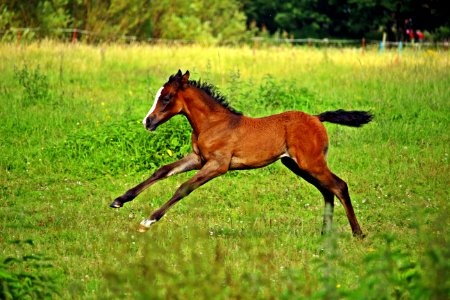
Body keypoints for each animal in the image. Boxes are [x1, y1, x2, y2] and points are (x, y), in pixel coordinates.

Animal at [110, 70, 372, 237]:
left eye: (166, 97)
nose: (148, 122)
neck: (213, 123)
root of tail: (317, 118)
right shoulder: (198, 159)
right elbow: (162, 171)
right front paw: (119, 201)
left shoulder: (218, 165)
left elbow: (183, 188)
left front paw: (147, 221)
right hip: (297, 165)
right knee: (327, 191)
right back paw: (324, 233)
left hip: (311, 163)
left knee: (339, 186)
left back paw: (358, 233)